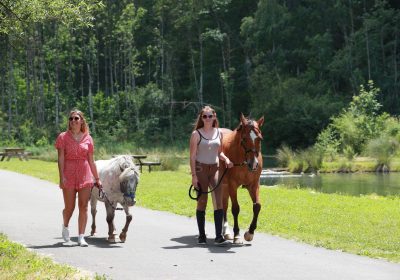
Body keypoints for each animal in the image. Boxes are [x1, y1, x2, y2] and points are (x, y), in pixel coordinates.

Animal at [220, 112, 264, 244]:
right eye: (244, 139)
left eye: (259, 138)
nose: (253, 164)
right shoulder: (232, 185)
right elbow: (235, 208)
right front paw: (237, 235)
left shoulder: (254, 185)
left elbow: (257, 206)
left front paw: (250, 233)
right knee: (223, 206)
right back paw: (227, 232)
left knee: (224, 205)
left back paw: (226, 232)